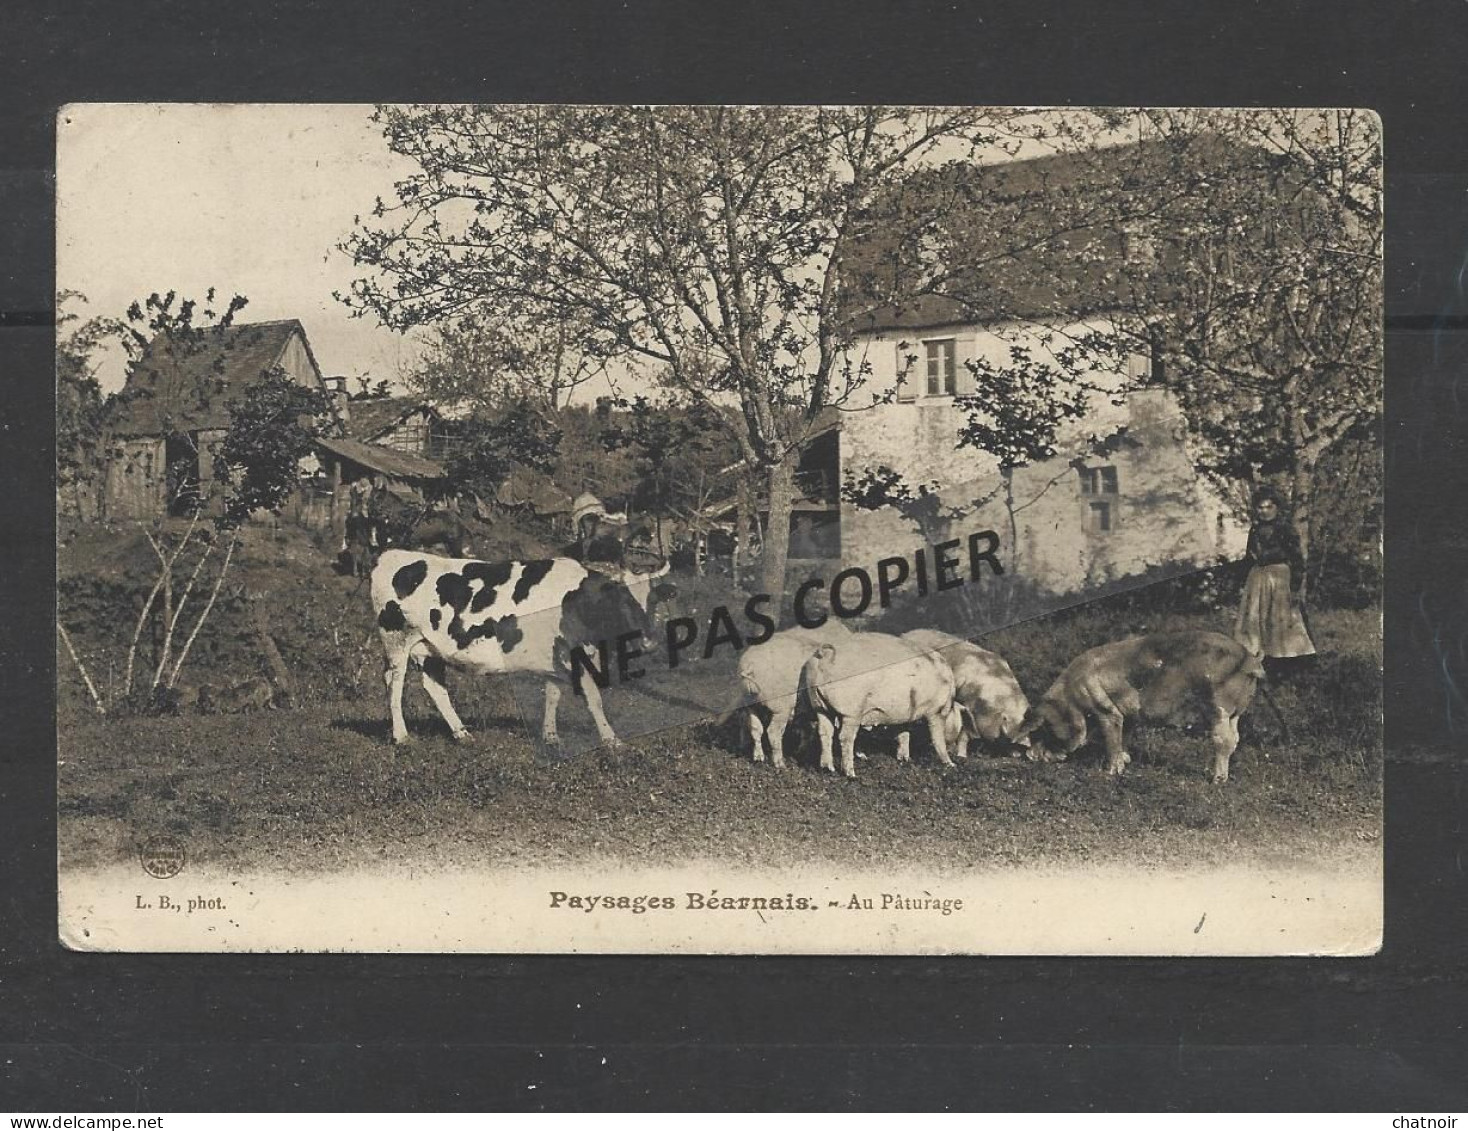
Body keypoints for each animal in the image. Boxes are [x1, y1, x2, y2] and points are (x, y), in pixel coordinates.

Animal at [369, 549, 672, 749]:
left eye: (653, 600)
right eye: (622, 600)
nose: (649, 642)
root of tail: (389, 556)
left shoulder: (555, 654)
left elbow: (552, 694)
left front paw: (550, 736)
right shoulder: (574, 652)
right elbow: (593, 697)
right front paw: (612, 740)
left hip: (430, 648)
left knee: (434, 687)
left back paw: (463, 734)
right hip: (397, 640)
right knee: (394, 683)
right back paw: (401, 736)